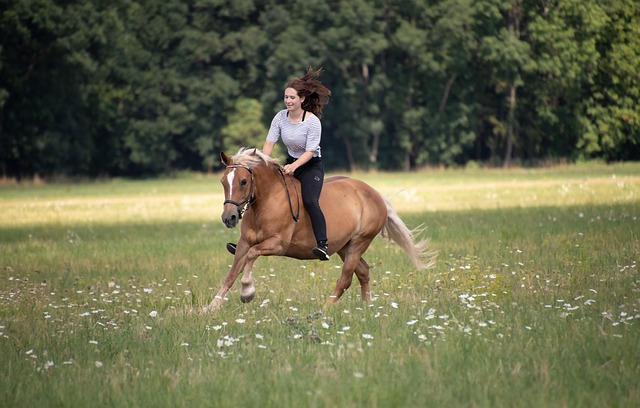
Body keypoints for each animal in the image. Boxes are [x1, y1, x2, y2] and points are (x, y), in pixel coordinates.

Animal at [202, 148, 438, 310]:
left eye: (243, 181)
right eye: (223, 182)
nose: (229, 218)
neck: (267, 201)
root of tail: (375, 193)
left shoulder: (277, 244)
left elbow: (251, 256)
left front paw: (247, 291)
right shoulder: (244, 243)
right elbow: (232, 273)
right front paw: (211, 307)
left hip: (359, 242)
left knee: (346, 278)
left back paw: (324, 309)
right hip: (344, 246)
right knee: (363, 271)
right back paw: (367, 307)